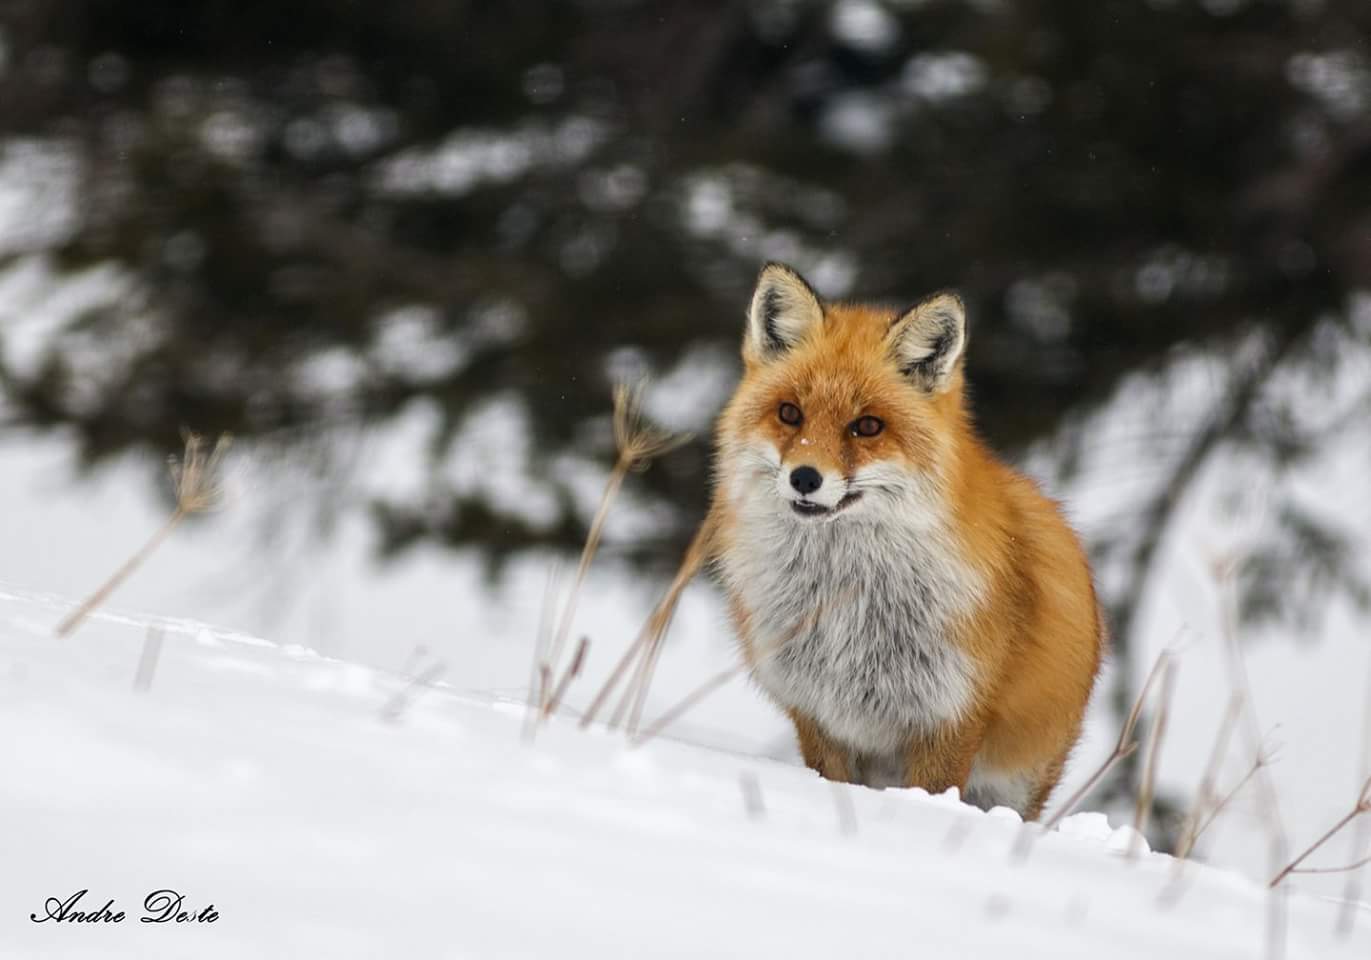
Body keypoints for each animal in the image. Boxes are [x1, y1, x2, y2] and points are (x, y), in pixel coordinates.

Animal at [686, 262, 1104, 820]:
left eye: (867, 426)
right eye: (790, 414)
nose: (804, 478)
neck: (845, 600)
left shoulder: (948, 713)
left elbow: (933, 793)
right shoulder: (818, 712)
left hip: (1017, 782)